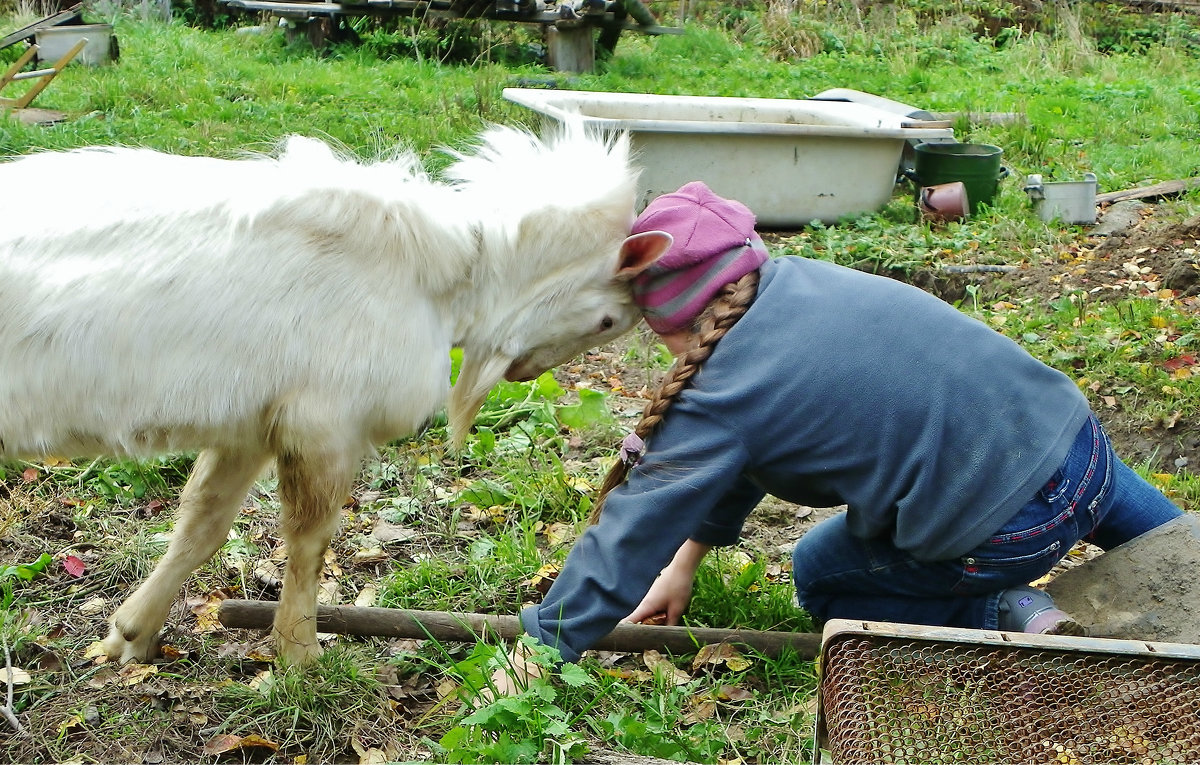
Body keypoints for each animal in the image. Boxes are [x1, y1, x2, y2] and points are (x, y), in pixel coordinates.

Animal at [0, 124, 676, 666]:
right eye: (609, 321)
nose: (520, 373)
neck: (448, 280)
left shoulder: (252, 420)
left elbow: (202, 524)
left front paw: (131, 635)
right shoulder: (323, 420)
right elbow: (311, 538)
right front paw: (300, 658)